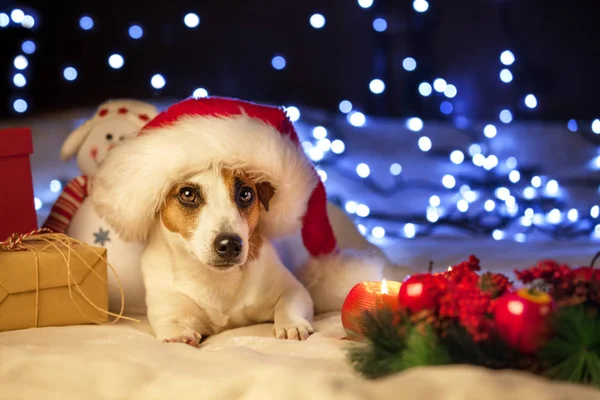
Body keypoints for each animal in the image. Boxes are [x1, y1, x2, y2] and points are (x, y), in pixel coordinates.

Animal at [92, 97, 404, 346]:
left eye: (245, 194)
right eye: (188, 194)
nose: (230, 244)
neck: (217, 282)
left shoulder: (292, 289)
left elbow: (290, 302)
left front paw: (291, 324)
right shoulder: (166, 304)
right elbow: (169, 322)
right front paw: (178, 334)